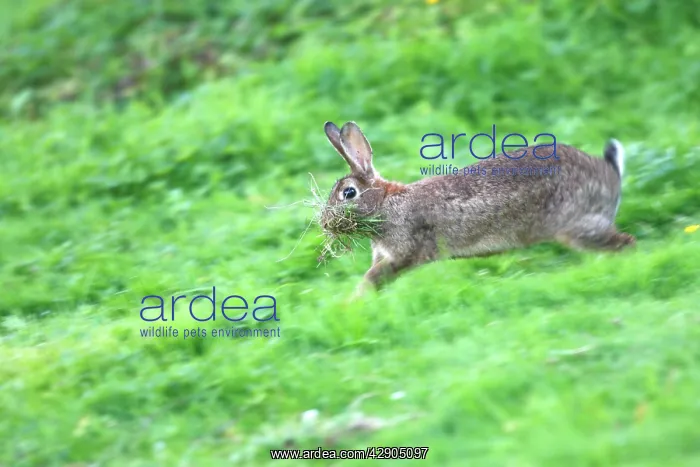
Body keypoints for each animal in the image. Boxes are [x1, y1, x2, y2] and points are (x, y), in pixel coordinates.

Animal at [320, 121, 635, 297]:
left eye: (348, 193)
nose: (324, 222)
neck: (385, 204)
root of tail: (610, 173)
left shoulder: (404, 251)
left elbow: (373, 277)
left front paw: (352, 302)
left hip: (576, 224)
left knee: (624, 243)